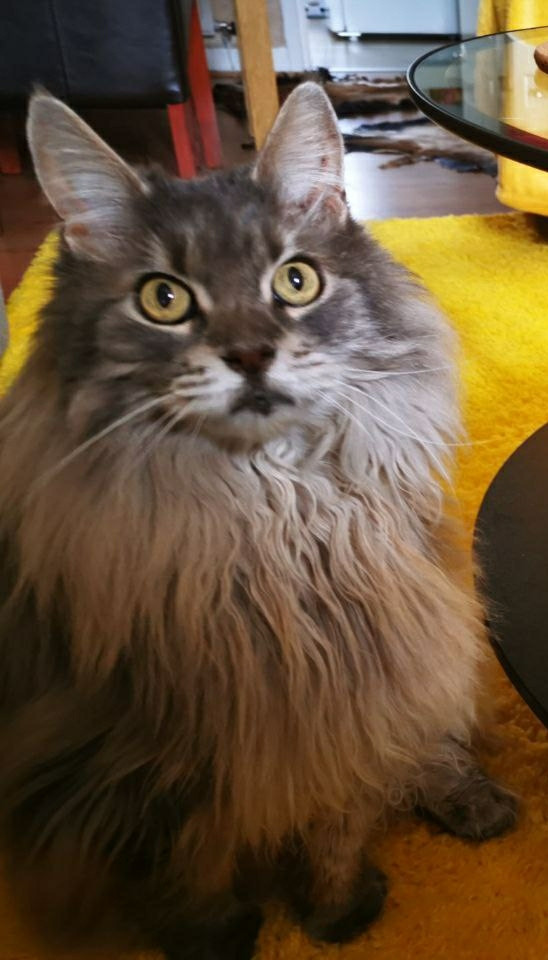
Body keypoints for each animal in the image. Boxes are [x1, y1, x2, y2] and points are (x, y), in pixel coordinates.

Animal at [0, 84, 516, 960]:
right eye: (163, 299)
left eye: (297, 281)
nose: (249, 355)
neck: (278, 522)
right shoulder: (137, 771)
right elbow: (190, 877)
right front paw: (221, 940)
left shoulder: (366, 691)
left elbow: (340, 823)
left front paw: (336, 912)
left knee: (435, 748)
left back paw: (477, 803)